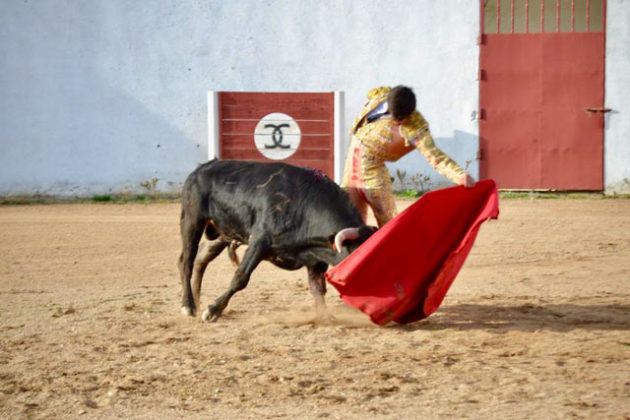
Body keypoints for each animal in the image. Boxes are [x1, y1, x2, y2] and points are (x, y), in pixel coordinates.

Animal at [178, 160, 378, 322]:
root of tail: (201, 168)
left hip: (223, 232)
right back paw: (188, 305)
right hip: (192, 220)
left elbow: (318, 288)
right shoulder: (259, 242)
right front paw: (213, 310)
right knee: (186, 260)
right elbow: (240, 277)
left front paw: (325, 316)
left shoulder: (315, 260)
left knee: (200, 259)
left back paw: (196, 300)